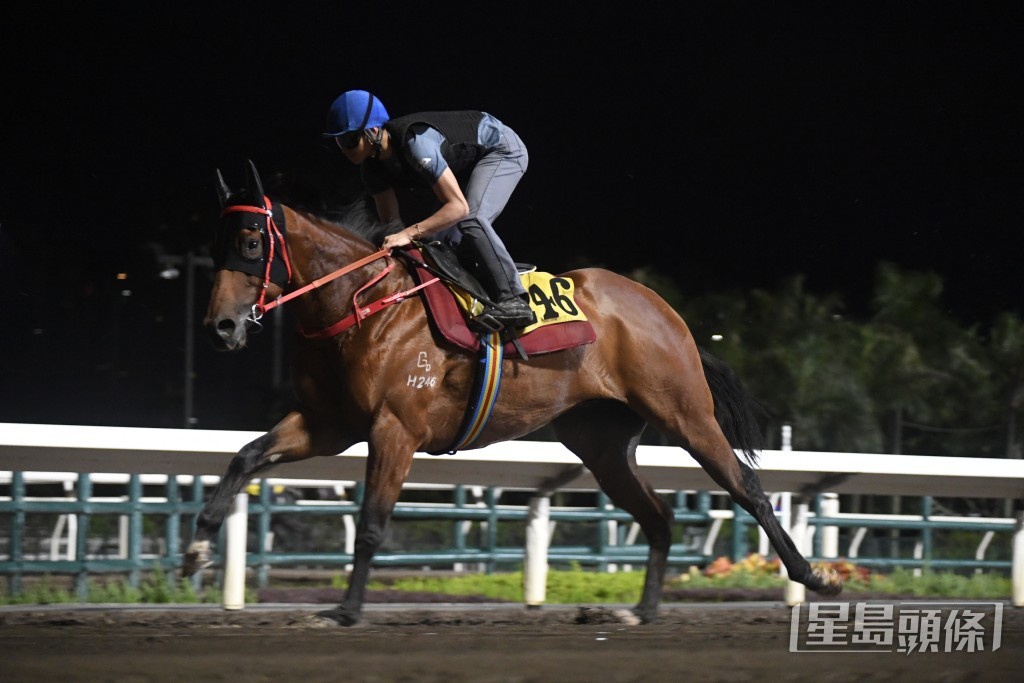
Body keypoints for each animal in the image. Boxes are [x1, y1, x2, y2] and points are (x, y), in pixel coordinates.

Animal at [184, 160, 839, 626]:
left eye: (250, 243)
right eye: (213, 244)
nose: (219, 328)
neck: (359, 303)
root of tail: (667, 313)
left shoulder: (395, 426)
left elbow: (371, 522)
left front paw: (344, 611)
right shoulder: (328, 423)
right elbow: (245, 456)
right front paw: (198, 548)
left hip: (685, 413)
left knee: (747, 487)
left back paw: (814, 577)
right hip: (600, 442)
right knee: (658, 516)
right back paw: (642, 611)